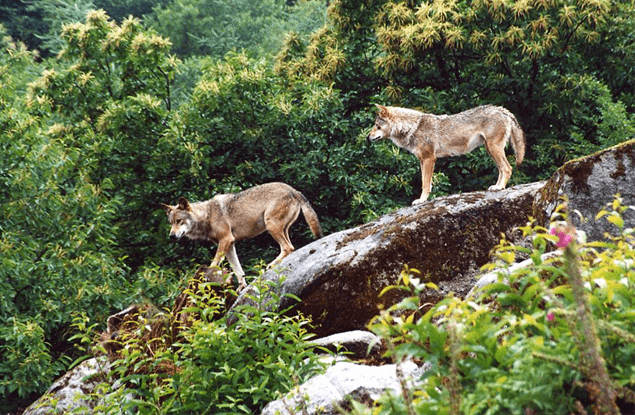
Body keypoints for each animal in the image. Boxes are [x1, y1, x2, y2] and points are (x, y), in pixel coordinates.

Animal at [161, 184, 322, 290]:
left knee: (288, 247)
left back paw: (271, 265)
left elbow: (214, 264)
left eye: (179, 221)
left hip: (271, 225)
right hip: (281, 229)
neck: (207, 215)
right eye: (170, 222)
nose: (171, 236)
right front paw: (242, 287)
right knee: (291, 248)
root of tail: (294, 190)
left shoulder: (226, 240)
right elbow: (238, 269)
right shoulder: (230, 245)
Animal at [368, 104, 528, 205]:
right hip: (490, 150)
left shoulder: (429, 159)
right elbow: (427, 183)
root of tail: (503, 110)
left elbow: (425, 184)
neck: (413, 128)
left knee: (507, 168)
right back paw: (497, 186)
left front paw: (421, 200)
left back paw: (499, 188)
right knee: (502, 169)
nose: (368, 137)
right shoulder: (422, 161)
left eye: (377, 126)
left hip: (494, 148)